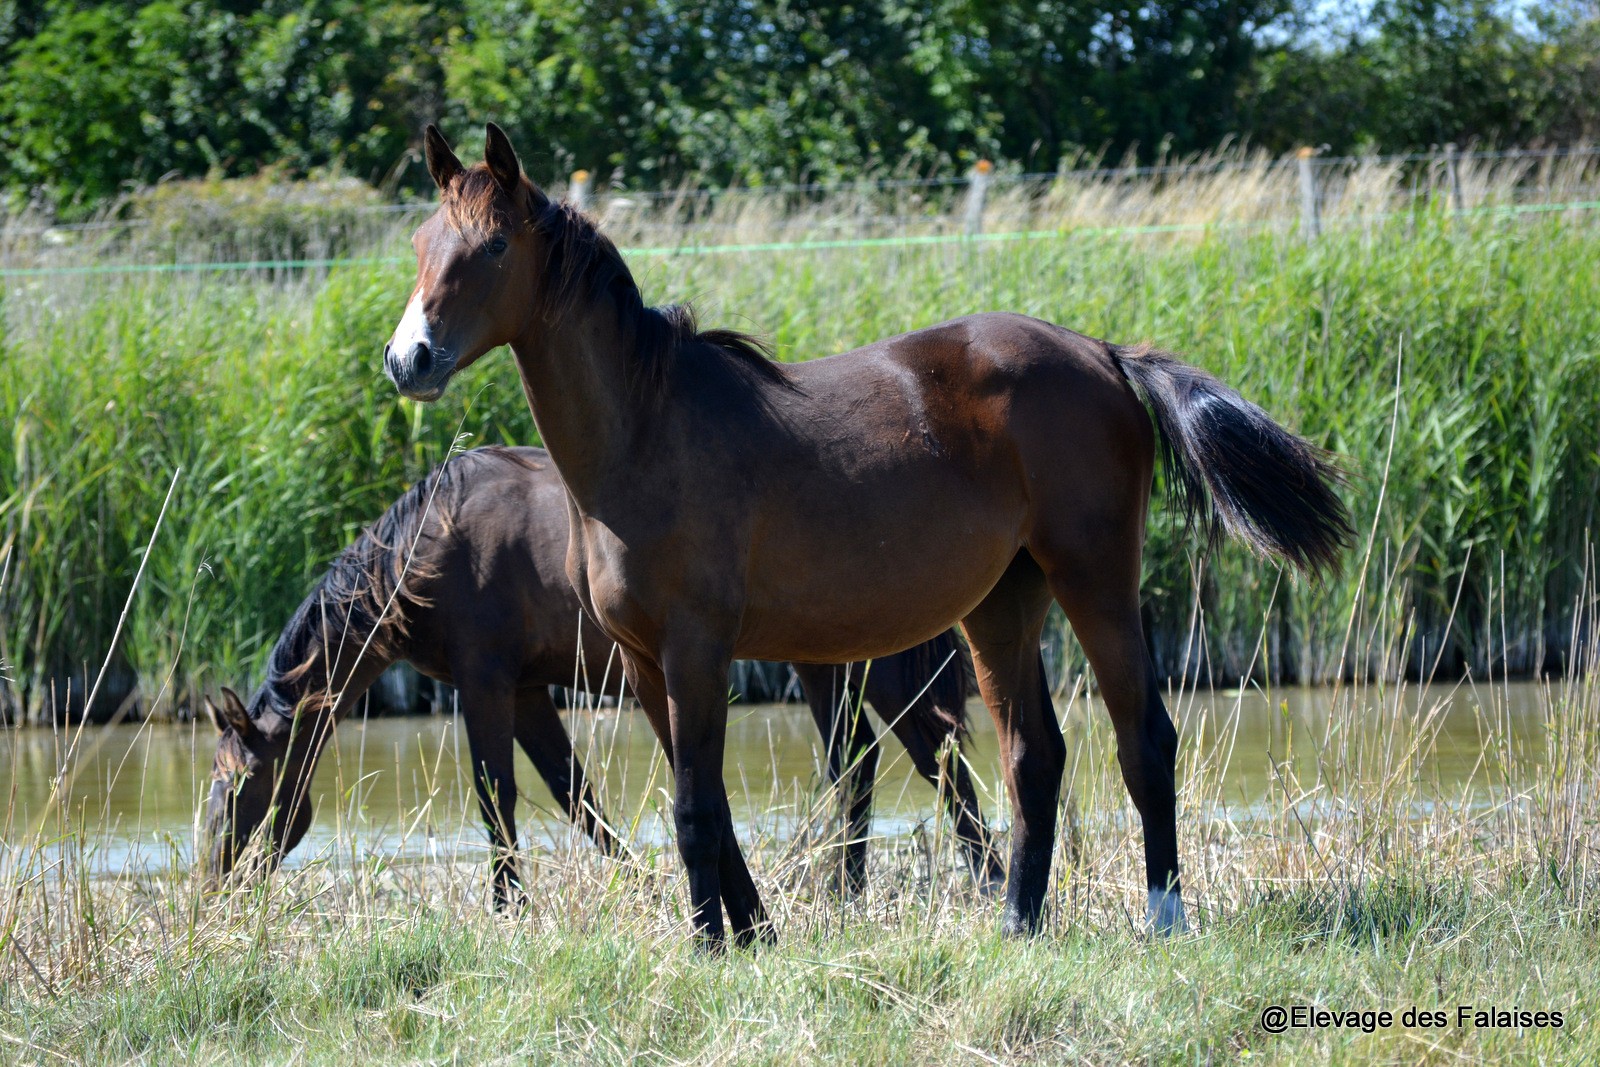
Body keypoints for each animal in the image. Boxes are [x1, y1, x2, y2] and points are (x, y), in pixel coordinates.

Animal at [204, 447, 992, 908]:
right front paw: (643, 883)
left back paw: (980, 882)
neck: (426, 553)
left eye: (238, 787)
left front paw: (509, 907)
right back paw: (848, 891)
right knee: (861, 763)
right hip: (825, 664)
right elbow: (575, 795)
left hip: (873, 665)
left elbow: (498, 797)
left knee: (932, 759)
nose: (213, 882)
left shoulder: (484, 681)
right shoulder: (527, 689)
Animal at [380, 125, 1344, 953]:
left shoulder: (697, 651)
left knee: (1143, 736)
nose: (407, 359)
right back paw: (1017, 925)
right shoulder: (647, 663)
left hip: (1095, 579)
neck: (648, 433)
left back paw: (1163, 917)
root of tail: (1104, 355)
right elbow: (713, 807)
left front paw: (709, 946)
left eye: (493, 248)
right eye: (424, 241)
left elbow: (696, 810)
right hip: (1002, 603)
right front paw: (754, 935)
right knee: (1034, 755)